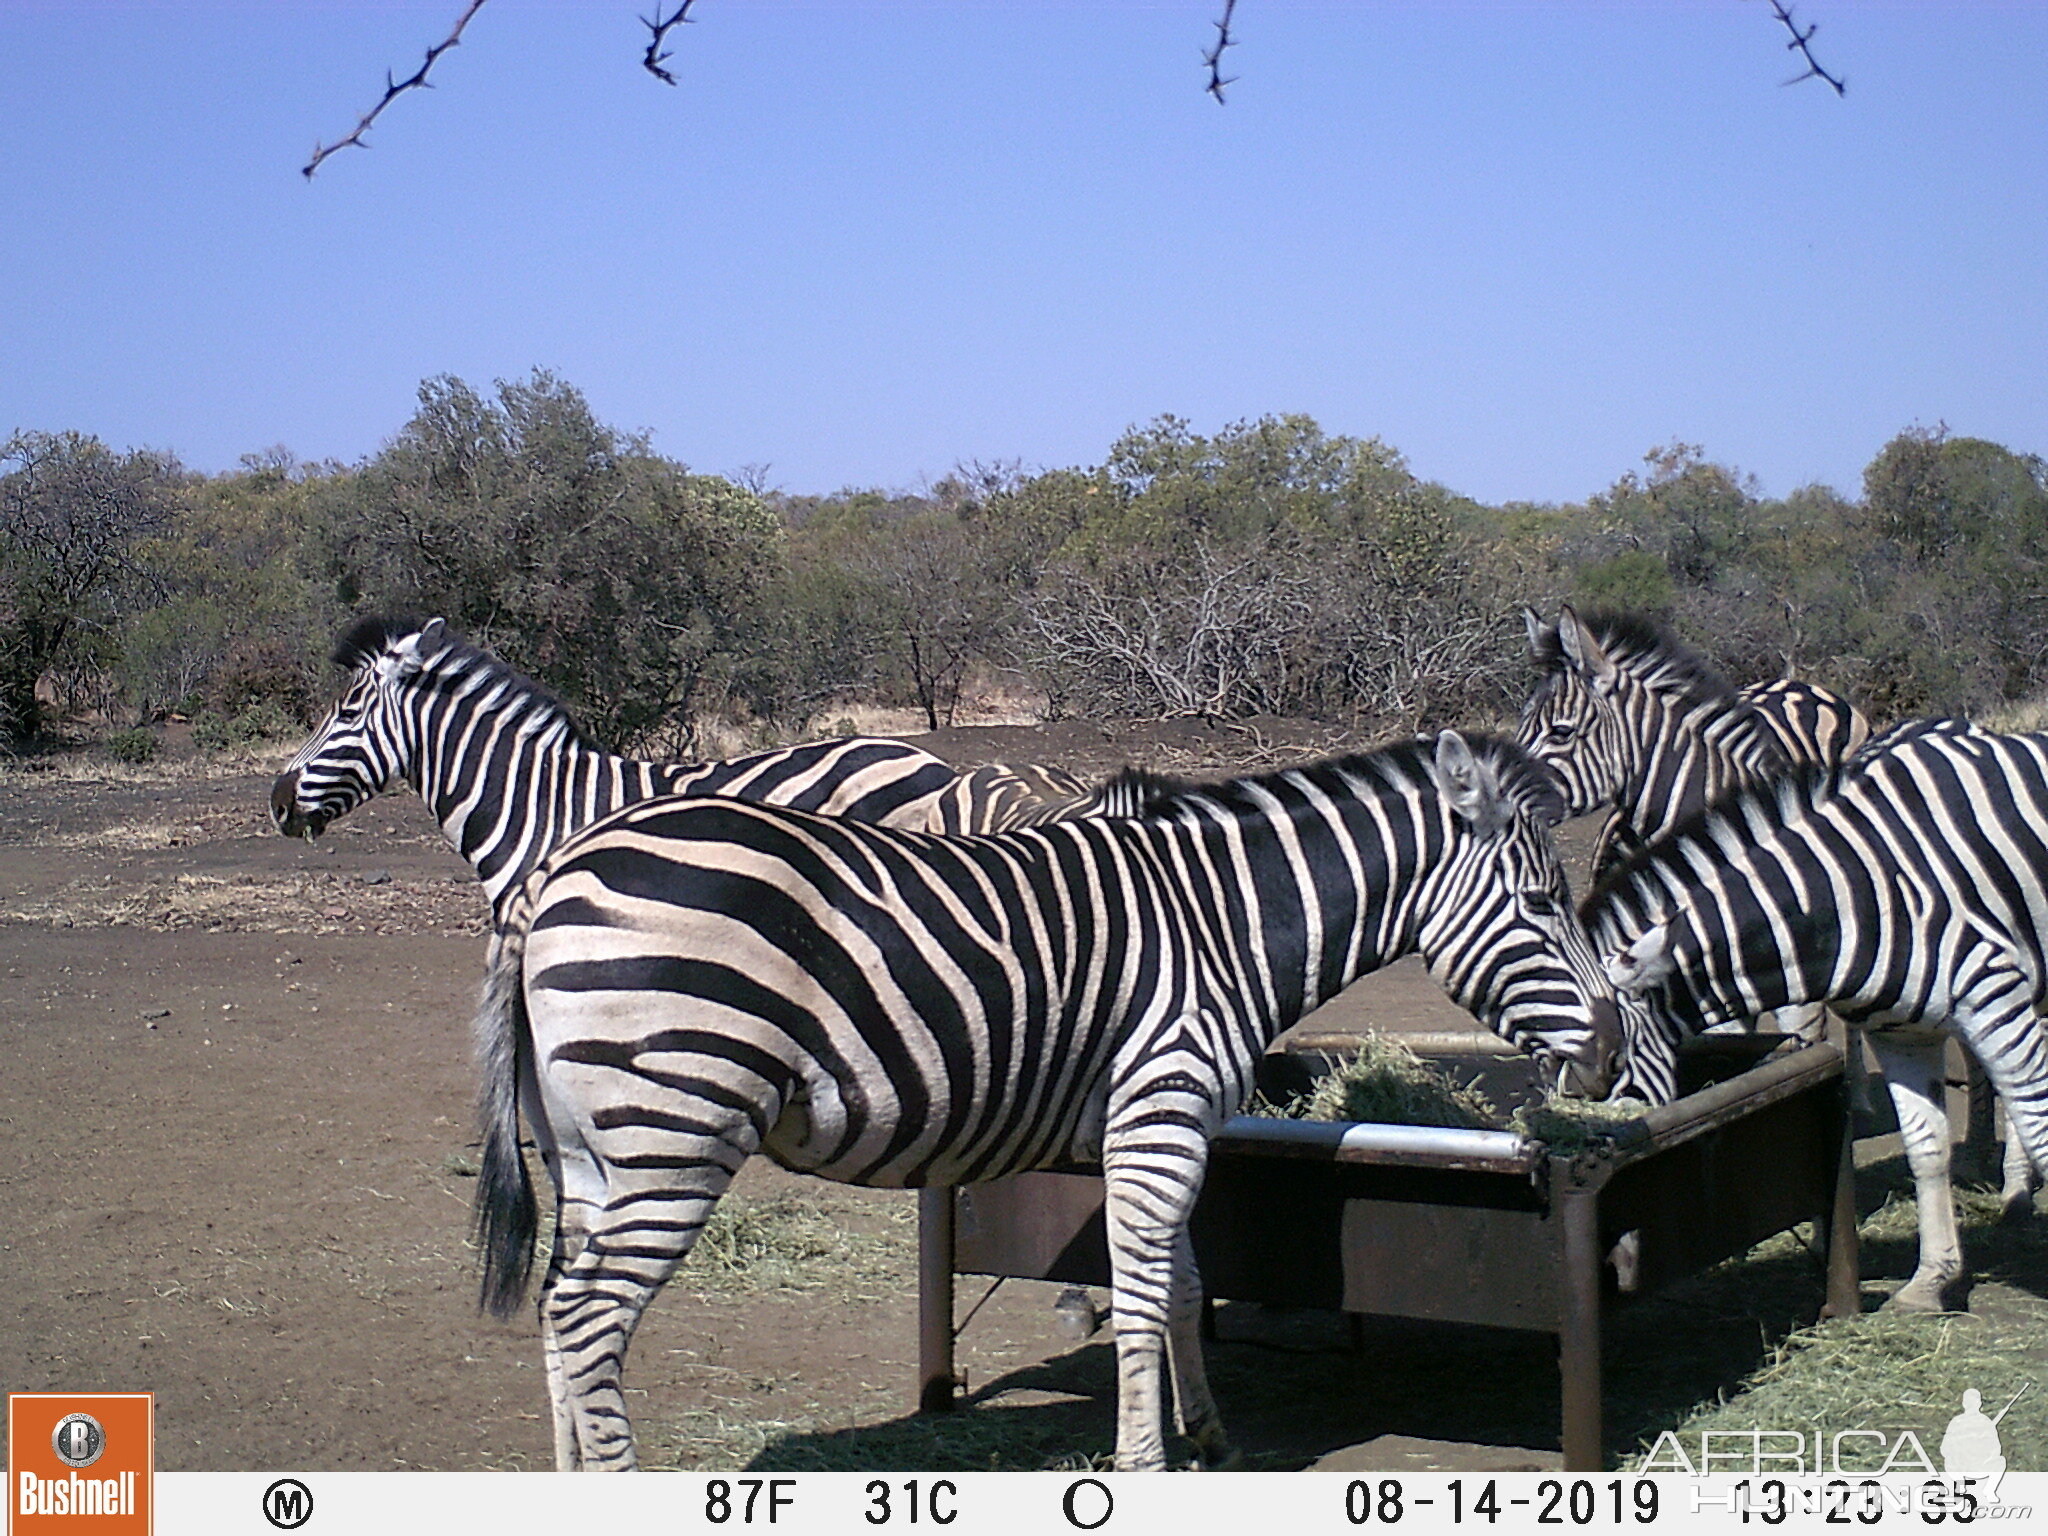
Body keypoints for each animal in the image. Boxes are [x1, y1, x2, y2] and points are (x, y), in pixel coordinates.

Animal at [471, 729, 1622, 1466]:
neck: (1219, 922)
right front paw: (1145, 1463)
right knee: (586, 1320)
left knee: (560, 1314)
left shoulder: (1167, 1124)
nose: (1611, 1048)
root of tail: (557, 869)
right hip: (672, 1128)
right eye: (1540, 901)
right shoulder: (1159, 1108)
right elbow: (1145, 1294)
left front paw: (1208, 1435)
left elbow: (1181, 1284)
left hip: (587, 1151)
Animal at [1581, 720, 2048, 1310]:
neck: (1851, 897)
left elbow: (2039, 1125)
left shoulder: (1994, 998)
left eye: (1613, 1065)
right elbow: (1926, 1148)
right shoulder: (1901, 1034)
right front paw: (1929, 1282)